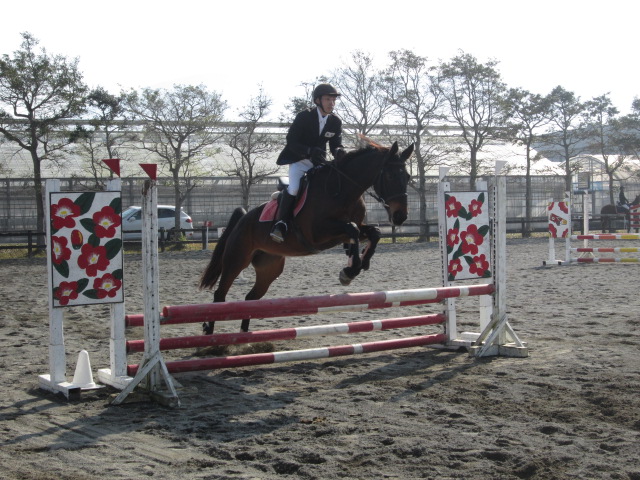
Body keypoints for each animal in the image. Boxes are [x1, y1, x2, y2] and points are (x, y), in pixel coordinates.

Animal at [199, 139, 414, 334]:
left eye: (408, 177)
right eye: (389, 176)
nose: (401, 216)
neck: (343, 189)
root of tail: (243, 219)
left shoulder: (349, 230)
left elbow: (373, 233)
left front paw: (360, 264)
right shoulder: (318, 233)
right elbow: (352, 229)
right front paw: (350, 270)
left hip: (269, 267)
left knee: (251, 299)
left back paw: (245, 336)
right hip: (236, 260)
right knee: (220, 295)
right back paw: (210, 335)